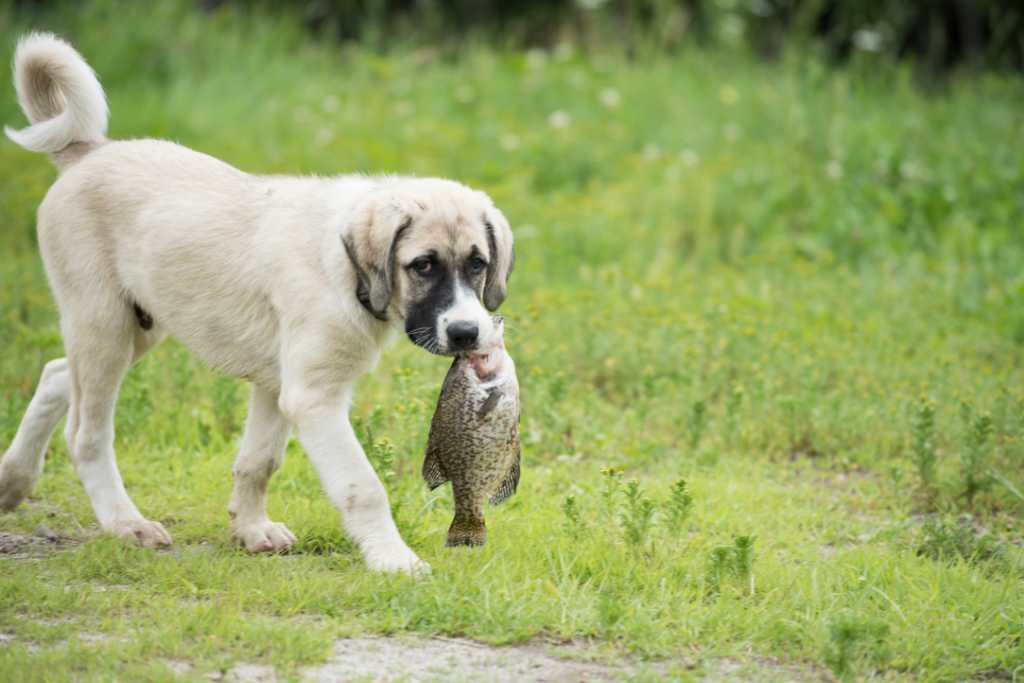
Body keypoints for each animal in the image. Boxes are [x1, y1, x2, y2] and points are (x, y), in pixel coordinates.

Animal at [0, 33, 512, 577]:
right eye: (423, 266)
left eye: (478, 264)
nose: (467, 333)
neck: (347, 270)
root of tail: (87, 152)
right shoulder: (313, 395)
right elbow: (363, 485)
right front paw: (393, 559)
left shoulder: (276, 384)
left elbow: (259, 461)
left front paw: (249, 529)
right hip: (103, 324)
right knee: (86, 432)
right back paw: (125, 523)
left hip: (139, 324)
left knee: (56, 373)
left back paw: (12, 481)